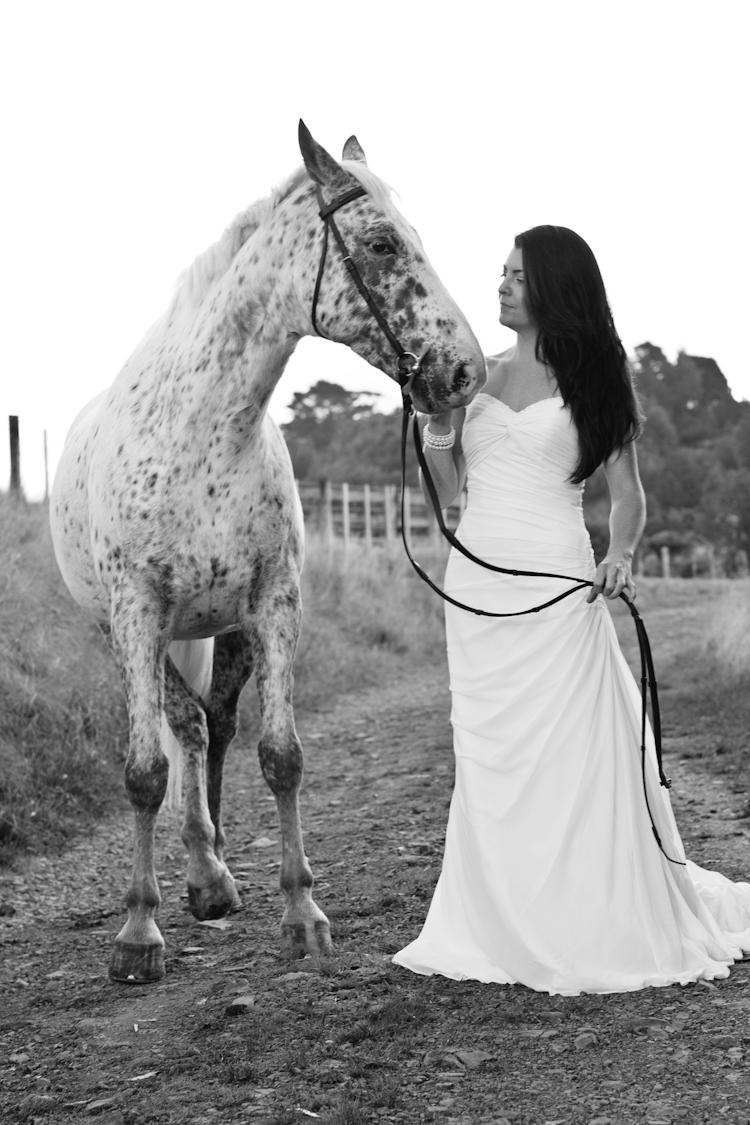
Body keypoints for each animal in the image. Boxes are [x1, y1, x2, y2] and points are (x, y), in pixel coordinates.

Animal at [49, 122, 486, 983]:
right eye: (381, 242)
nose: (465, 371)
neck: (201, 434)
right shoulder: (137, 615)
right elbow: (144, 771)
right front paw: (138, 933)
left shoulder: (273, 605)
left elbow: (279, 754)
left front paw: (302, 914)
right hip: (132, 634)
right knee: (182, 730)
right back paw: (197, 877)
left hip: (223, 633)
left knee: (207, 728)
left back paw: (211, 875)